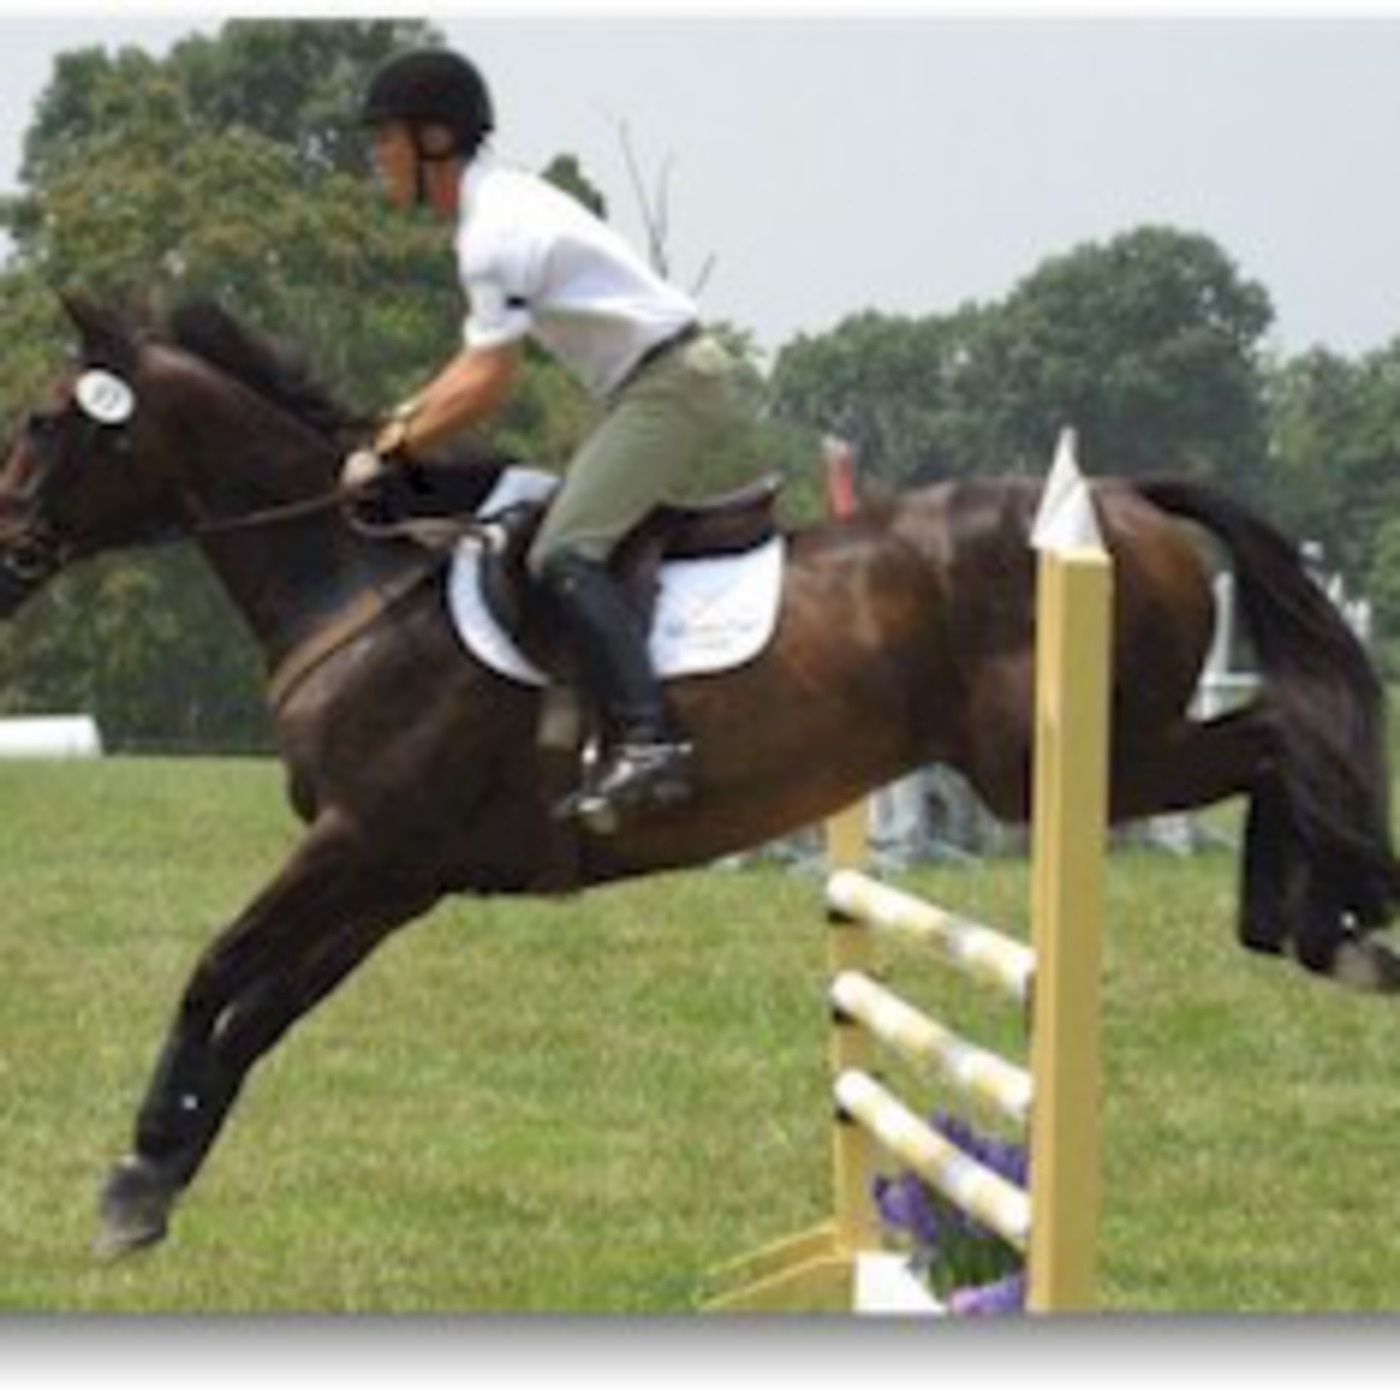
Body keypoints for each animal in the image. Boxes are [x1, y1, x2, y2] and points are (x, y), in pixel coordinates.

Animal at [1, 296, 1397, 1261]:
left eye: (42, 420)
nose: (3, 557)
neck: (360, 575)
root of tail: (1115, 494)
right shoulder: (392, 871)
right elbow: (260, 1010)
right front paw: (154, 1178)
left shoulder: (360, 843)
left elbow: (215, 972)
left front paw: (134, 1170)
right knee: (1279, 733)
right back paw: (1318, 921)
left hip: (1069, 757)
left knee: (1283, 734)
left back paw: (1332, 921)